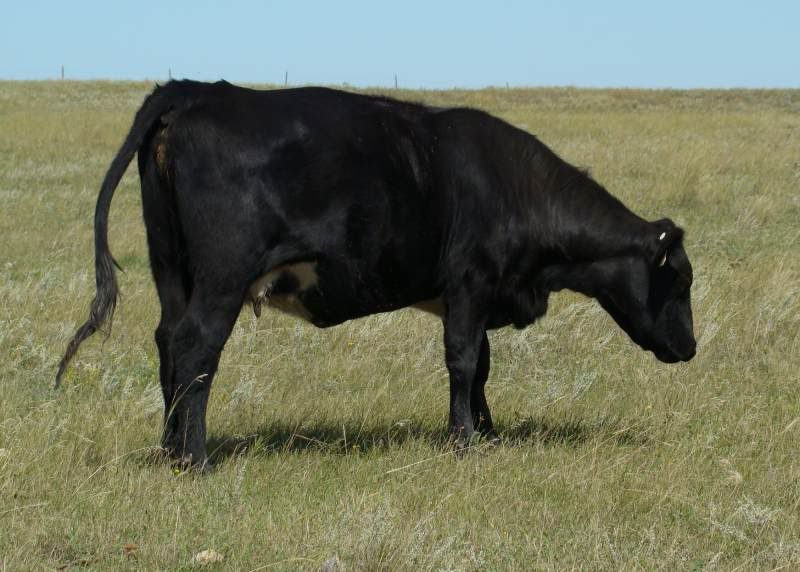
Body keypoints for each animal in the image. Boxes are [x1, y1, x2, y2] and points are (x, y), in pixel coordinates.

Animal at [56, 80, 696, 468]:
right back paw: (197, 459)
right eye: (682, 281)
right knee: (195, 349)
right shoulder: (472, 282)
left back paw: (170, 451)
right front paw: (464, 441)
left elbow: (482, 368)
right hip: (222, 278)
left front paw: (487, 433)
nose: (690, 348)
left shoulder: (471, 296)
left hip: (172, 269)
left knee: (167, 342)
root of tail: (195, 90)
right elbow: (464, 362)